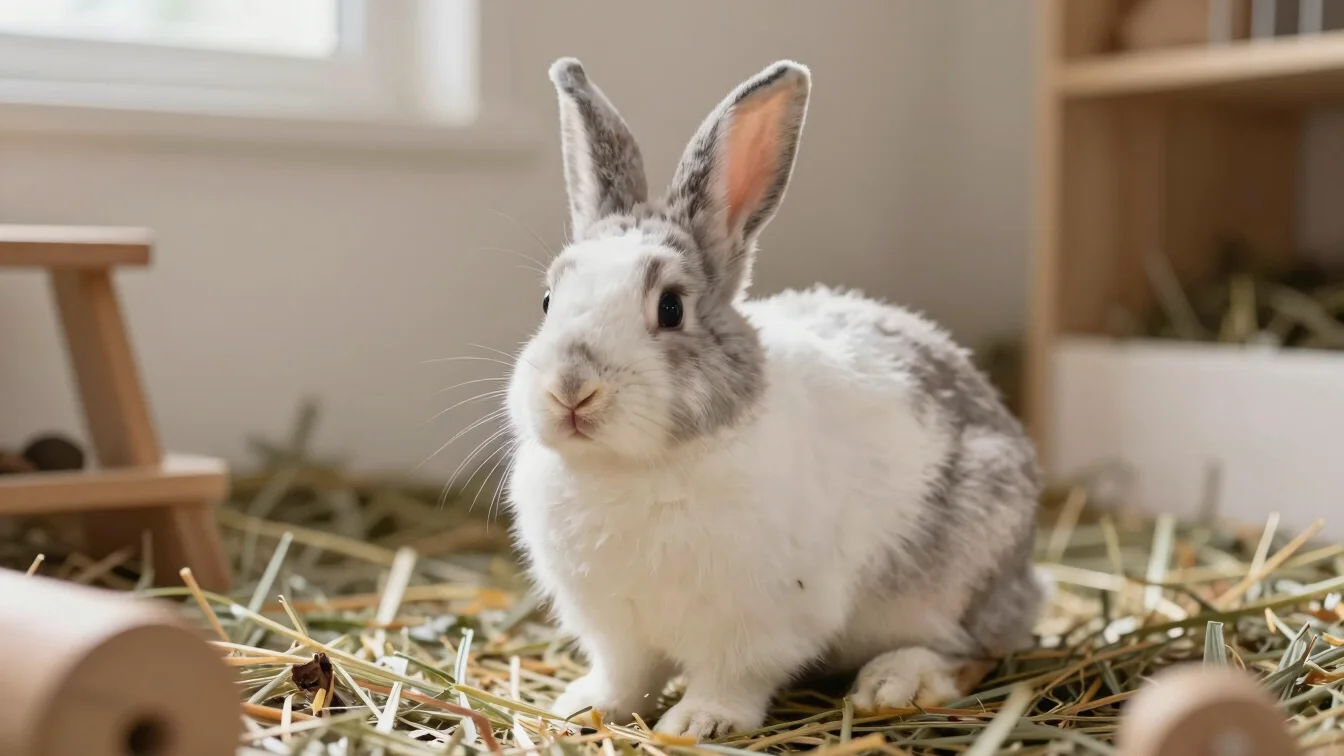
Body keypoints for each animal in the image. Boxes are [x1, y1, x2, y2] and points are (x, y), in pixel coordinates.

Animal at [502, 56, 1046, 740]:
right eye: (548, 301)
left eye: (671, 308)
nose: (571, 388)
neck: (631, 470)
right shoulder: (618, 631)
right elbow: (624, 677)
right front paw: (581, 707)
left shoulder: (756, 627)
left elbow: (731, 679)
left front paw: (697, 724)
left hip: (964, 570)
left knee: (977, 647)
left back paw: (895, 683)